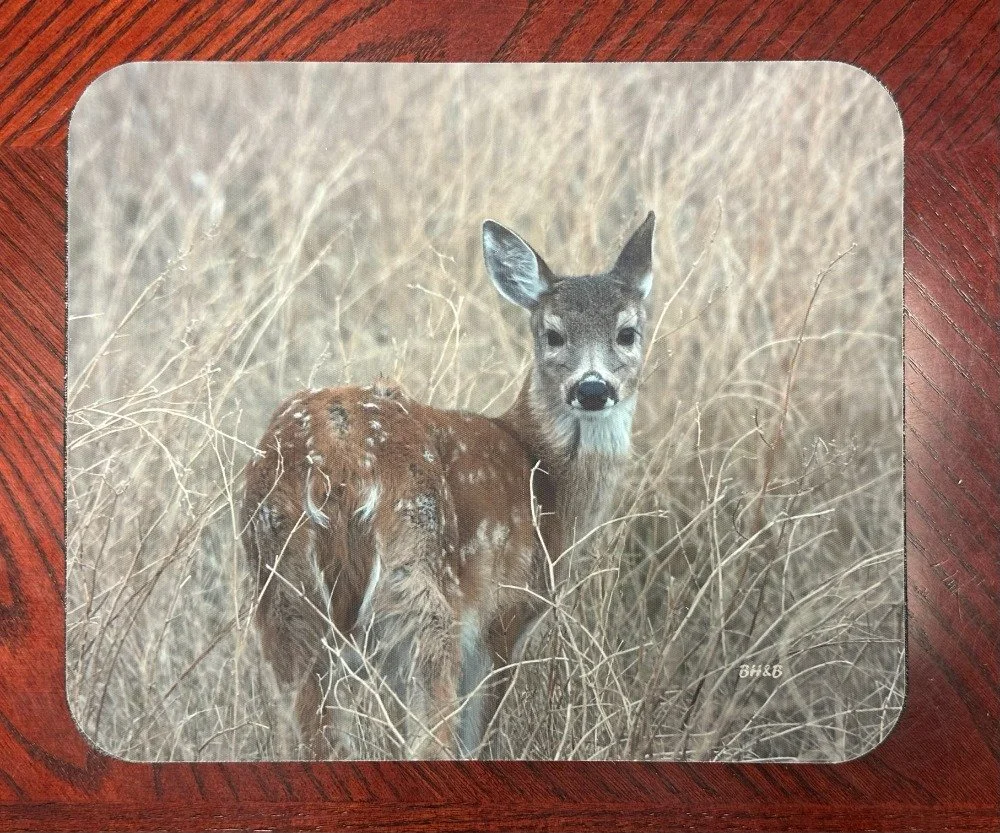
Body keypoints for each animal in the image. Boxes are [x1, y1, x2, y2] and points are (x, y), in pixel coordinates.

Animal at [241, 211, 656, 759]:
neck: (545, 481)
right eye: (553, 334)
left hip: (282, 603)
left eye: (627, 333)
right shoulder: (504, 611)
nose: (591, 388)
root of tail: (339, 476)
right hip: (420, 598)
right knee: (426, 740)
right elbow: (476, 734)